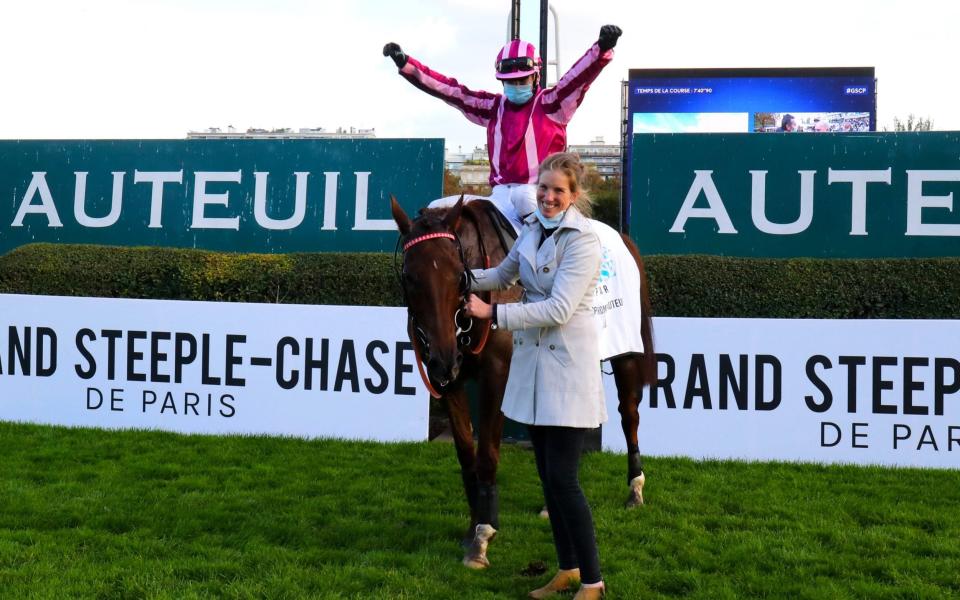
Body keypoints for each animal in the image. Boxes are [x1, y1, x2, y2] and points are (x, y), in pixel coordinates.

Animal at [390, 196, 652, 568]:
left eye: (459, 277)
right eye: (410, 277)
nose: (443, 358)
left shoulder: (497, 374)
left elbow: (487, 454)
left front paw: (483, 535)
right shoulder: (451, 382)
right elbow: (466, 455)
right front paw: (473, 527)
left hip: (626, 351)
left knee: (629, 415)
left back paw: (635, 488)